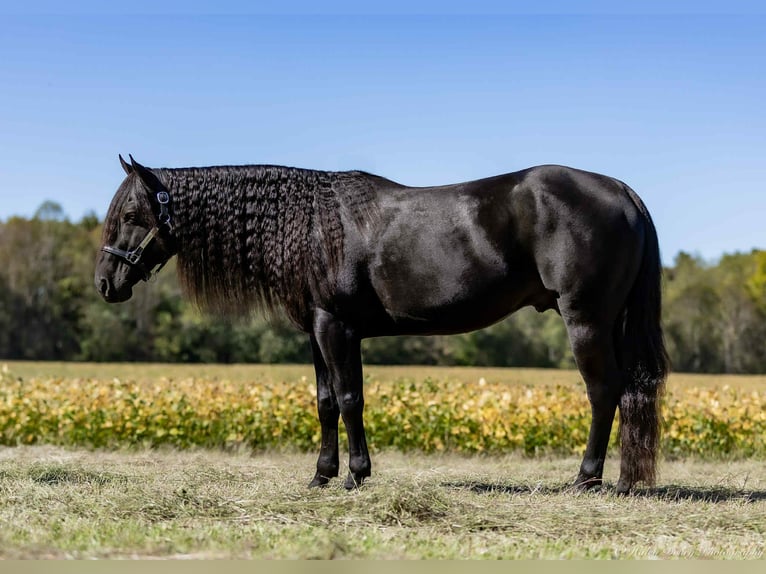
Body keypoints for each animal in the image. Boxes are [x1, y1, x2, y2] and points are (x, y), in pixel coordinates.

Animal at [95, 155, 668, 494]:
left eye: (131, 215)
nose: (105, 283)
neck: (310, 226)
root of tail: (621, 190)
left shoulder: (337, 328)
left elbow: (351, 399)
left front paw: (356, 476)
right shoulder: (316, 332)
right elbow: (325, 403)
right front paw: (321, 476)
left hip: (586, 320)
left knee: (604, 391)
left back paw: (586, 479)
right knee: (624, 392)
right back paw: (620, 480)